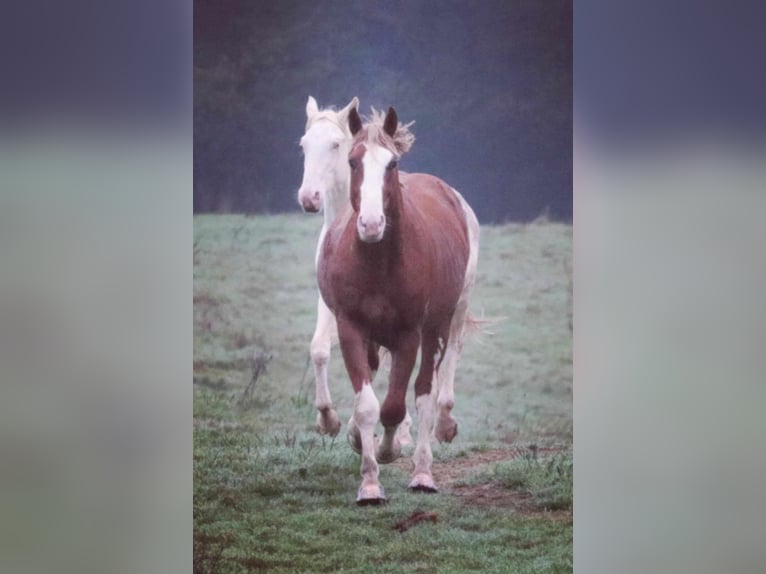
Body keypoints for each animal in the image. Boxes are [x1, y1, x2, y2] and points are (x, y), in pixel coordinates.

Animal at [318, 107, 480, 504]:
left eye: (392, 164)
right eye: (352, 161)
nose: (371, 223)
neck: (377, 263)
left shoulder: (409, 334)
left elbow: (394, 406)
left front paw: (388, 450)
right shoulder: (351, 328)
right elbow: (367, 405)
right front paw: (369, 483)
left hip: (443, 322)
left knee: (426, 390)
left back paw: (424, 469)